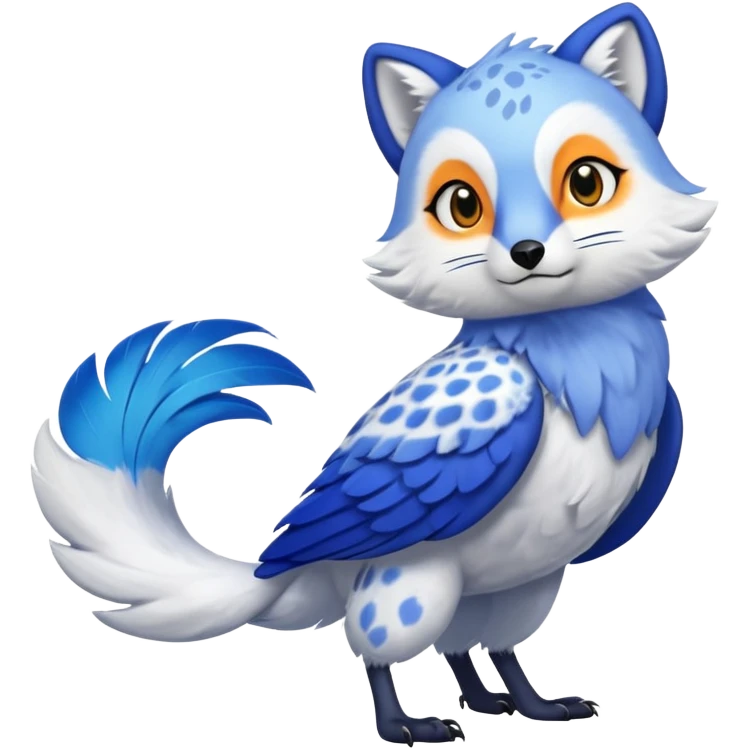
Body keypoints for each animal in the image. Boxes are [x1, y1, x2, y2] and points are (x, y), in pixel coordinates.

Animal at [32, 2, 717, 745]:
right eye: (462, 205)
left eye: (587, 183)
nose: (527, 252)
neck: (559, 351)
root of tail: (273, 572)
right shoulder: (420, 559)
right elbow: (390, 653)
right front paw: (403, 723)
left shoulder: (535, 574)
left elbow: (506, 650)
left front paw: (535, 707)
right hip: (403, 567)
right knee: (386, 645)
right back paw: (408, 722)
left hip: (502, 580)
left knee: (465, 644)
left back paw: (489, 702)